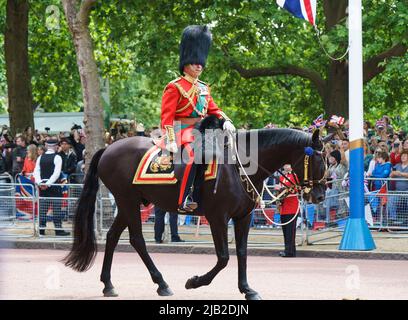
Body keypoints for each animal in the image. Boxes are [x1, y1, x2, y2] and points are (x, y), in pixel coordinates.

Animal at [63, 123, 326, 300]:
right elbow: (223, 257)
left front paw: (247, 289)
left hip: (130, 202)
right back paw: (161, 283)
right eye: (316, 161)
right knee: (137, 239)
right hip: (127, 201)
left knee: (112, 236)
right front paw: (195, 282)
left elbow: (242, 253)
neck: (240, 167)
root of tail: (108, 149)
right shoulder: (217, 218)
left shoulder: (244, 217)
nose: (320, 196)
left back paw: (108, 284)